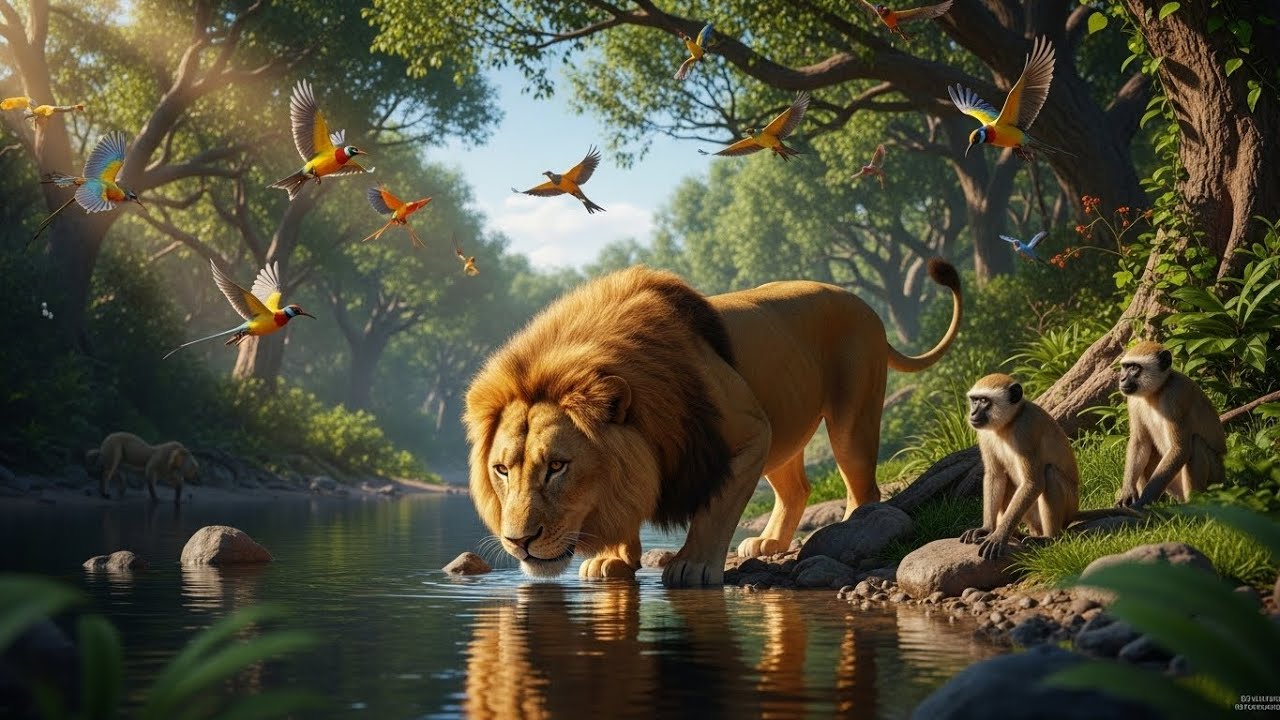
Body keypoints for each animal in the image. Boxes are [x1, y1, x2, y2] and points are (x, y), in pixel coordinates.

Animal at [463, 260, 961, 587]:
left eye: (557, 467)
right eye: (502, 470)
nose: (518, 542)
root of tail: (864, 304)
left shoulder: (748, 433)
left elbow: (715, 506)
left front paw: (692, 565)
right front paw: (612, 560)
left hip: (848, 420)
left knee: (862, 483)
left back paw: (853, 523)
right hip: (781, 428)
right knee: (797, 488)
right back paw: (769, 543)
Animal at [1115, 341, 1226, 509]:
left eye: (1134, 368)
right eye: (1125, 367)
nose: (1122, 379)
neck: (1155, 393)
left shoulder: (1176, 395)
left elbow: (1180, 449)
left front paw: (1144, 501)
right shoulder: (1133, 400)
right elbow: (1140, 442)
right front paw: (1128, 492)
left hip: (1216, 476)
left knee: (1196, 443)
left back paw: (1195, 502)